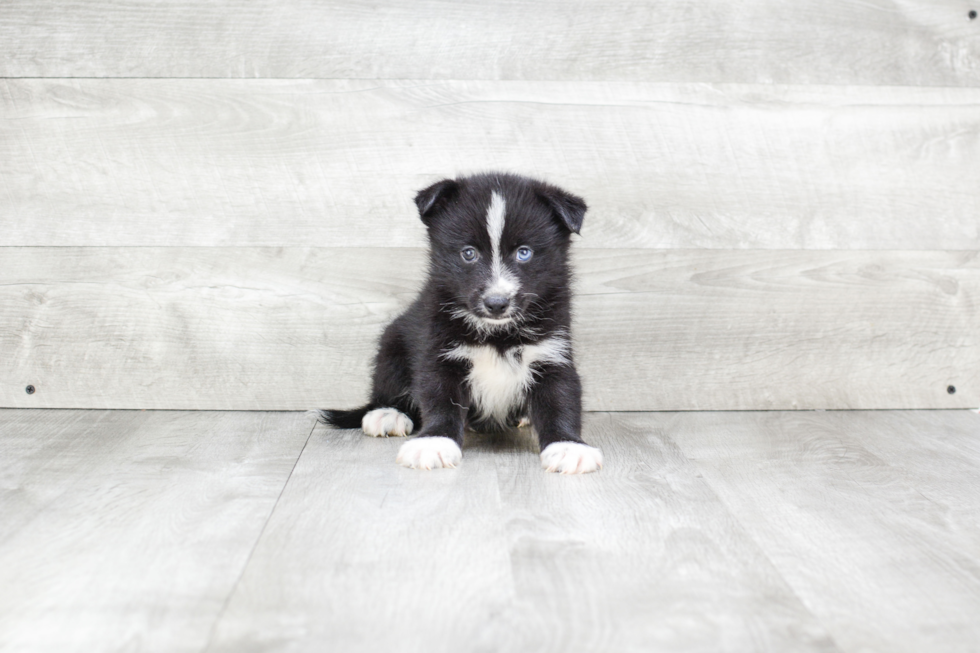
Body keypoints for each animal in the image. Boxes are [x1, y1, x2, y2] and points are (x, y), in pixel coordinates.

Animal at [318, 173, 600, 474]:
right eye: (468, 253)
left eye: (524, 253)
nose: (496, 303)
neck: (497, 334)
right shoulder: (439, 350)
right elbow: (439, 397)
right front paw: (434, 441)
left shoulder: (552, 351)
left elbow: (561, 398)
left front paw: (568, 446)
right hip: (392, 342)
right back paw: (387, 413)